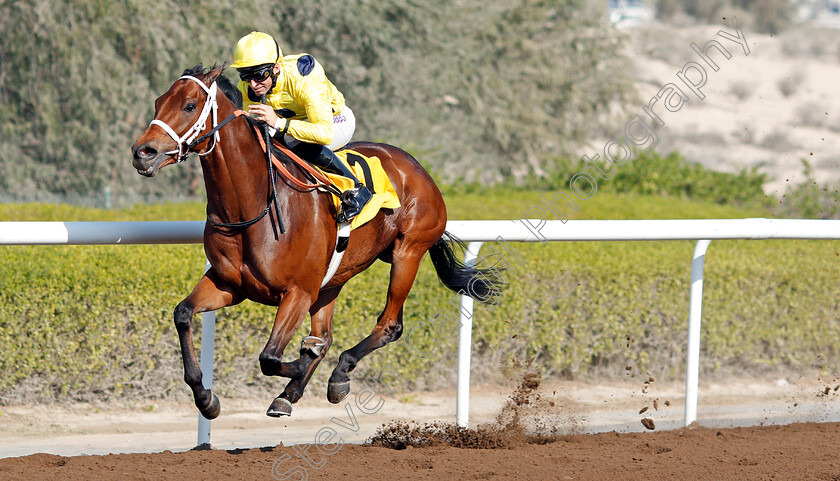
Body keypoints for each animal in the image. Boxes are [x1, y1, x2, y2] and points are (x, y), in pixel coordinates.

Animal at [130, 65, 498, 418]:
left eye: (189, 106)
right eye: (158, 103)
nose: (142, 152)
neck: (254, 204)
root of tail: (418, 168)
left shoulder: (298, 292)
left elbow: (270, 357)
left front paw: (304, 359)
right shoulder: (229, 285)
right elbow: (183, 314)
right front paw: (206, 398)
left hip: (408, 253)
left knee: (389, 325)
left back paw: (338, 375)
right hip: (333, 277)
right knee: (328, 332)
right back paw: (290, 393)